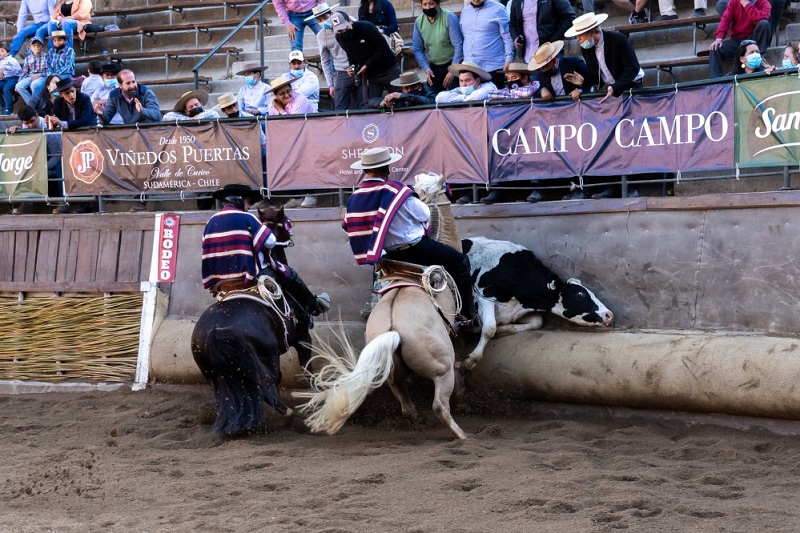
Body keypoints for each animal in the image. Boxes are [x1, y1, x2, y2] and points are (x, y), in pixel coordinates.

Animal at [190, 203, 310, 432]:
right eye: (285, 221)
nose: (291, 234)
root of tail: (214, 331)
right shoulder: (303, 338)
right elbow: (308, 369)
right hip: (268, 355)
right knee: (268, 383)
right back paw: (294, 416)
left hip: (213, 373)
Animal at [296, 172, 468, 438]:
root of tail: (392, 330)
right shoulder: (456, 333)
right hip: (442, 369)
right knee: (440, 403)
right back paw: (461, 435)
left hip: (393, 375)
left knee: (407, 406)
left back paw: (418, 422)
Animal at [460, 237, 616, 370]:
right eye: (580, 295)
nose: (609, 315)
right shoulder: (484, 296)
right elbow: (489, 328)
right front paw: (471, 359)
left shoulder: (516, 311)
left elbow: (537, 322)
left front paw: (502, 329)